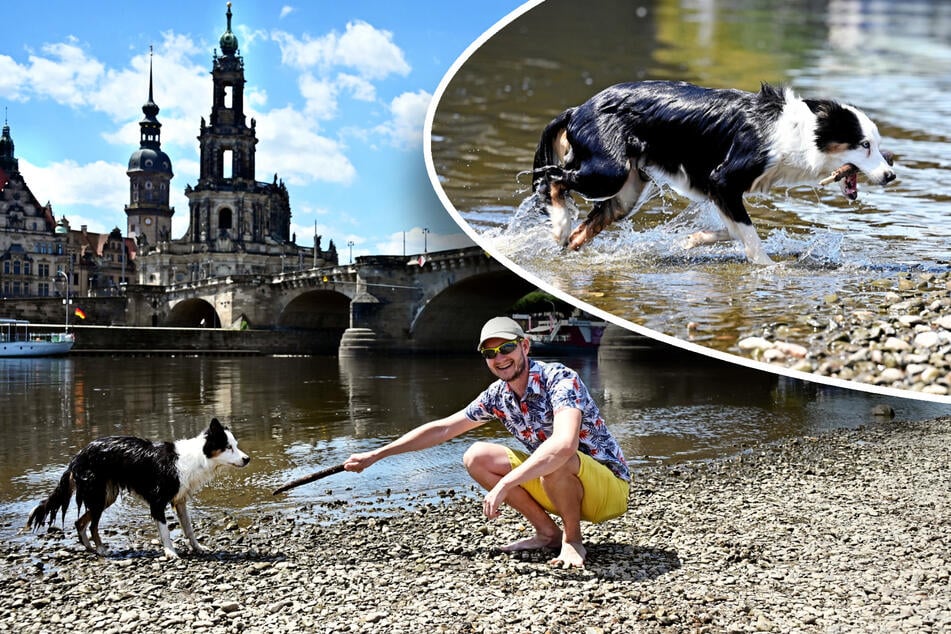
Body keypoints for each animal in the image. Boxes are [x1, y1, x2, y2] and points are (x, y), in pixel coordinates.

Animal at [27, 418, 249, 556]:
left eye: (236, 446)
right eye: (228, 447)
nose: (247, 459)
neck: (197, 457)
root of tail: (77, 457)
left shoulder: (180, 500)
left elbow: (188, 528)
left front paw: (198, 547)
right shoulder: (158, 501)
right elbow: (165, 531)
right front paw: (170, 553)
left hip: (107, 496)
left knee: (80, 522)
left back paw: (90, 548)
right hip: (98, 494)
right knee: (92, 525)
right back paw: (101, 549)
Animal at [532, 79, 896, 262]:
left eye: (877, 145)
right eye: (865, 145)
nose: (890, 175)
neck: (800, 132)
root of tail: (577, 109)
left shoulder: (721, 193)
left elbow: (734, 229)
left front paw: (690, 241)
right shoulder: (722, 181)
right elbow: (750, 237)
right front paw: (768, 269)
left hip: (627, 191)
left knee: (584, 228)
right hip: (609, 170)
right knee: (553, 178)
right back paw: (559, 226)